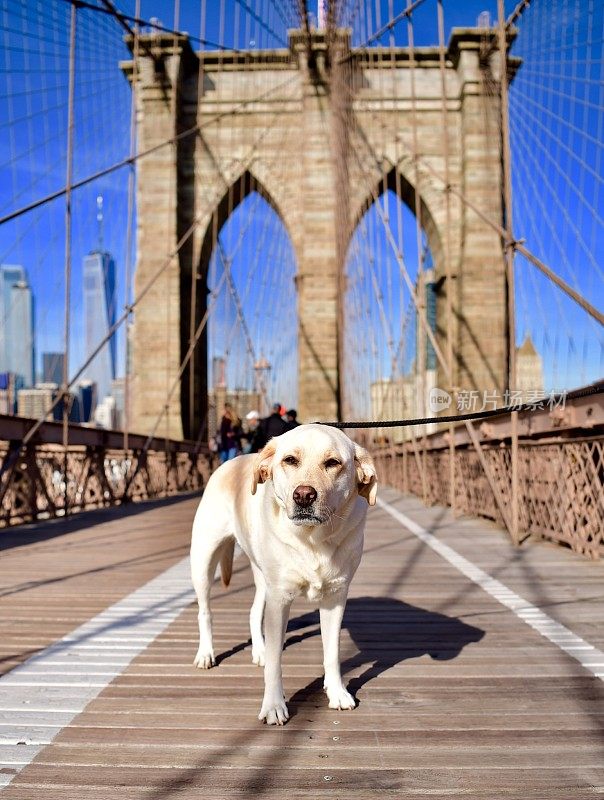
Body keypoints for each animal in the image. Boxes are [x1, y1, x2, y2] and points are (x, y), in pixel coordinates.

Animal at [190, 424, 378, 724]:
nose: (304, 495)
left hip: (261, 577)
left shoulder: (335, 598)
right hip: (203, 561)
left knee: (254, 611)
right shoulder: (279, 600)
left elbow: (332, 651)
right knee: (205, 611)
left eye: (333, 463)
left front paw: (337, 692)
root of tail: (233, 461)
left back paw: (259, 650)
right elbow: (276, 664)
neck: (313, 540)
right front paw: (273, 706)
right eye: (290, 460)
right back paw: (206, 653)